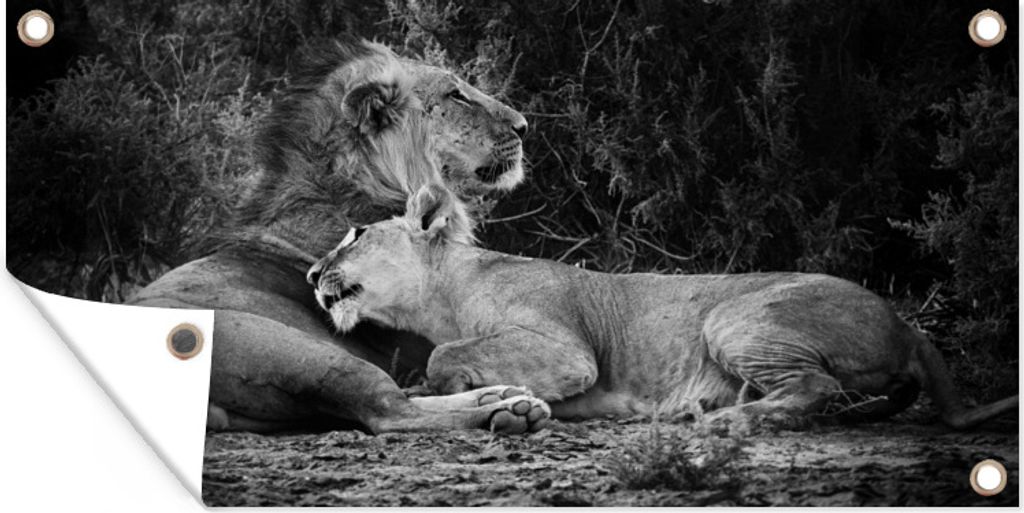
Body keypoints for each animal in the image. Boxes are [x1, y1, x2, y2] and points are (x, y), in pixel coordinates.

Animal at [126, 39, 550, 434]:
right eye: (455, 94)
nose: (524, 126)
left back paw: (498, 396)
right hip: (305, 353)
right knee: (389, 411)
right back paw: (506, 410)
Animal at [308, 183, 1018, 430]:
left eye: (355, 233)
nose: (313, 272)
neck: (446, 295)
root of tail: (907, 324)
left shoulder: (569, 352)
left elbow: (446, 357)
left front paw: (474, 386)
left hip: (732, 318)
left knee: (812, 386)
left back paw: (722, 419)